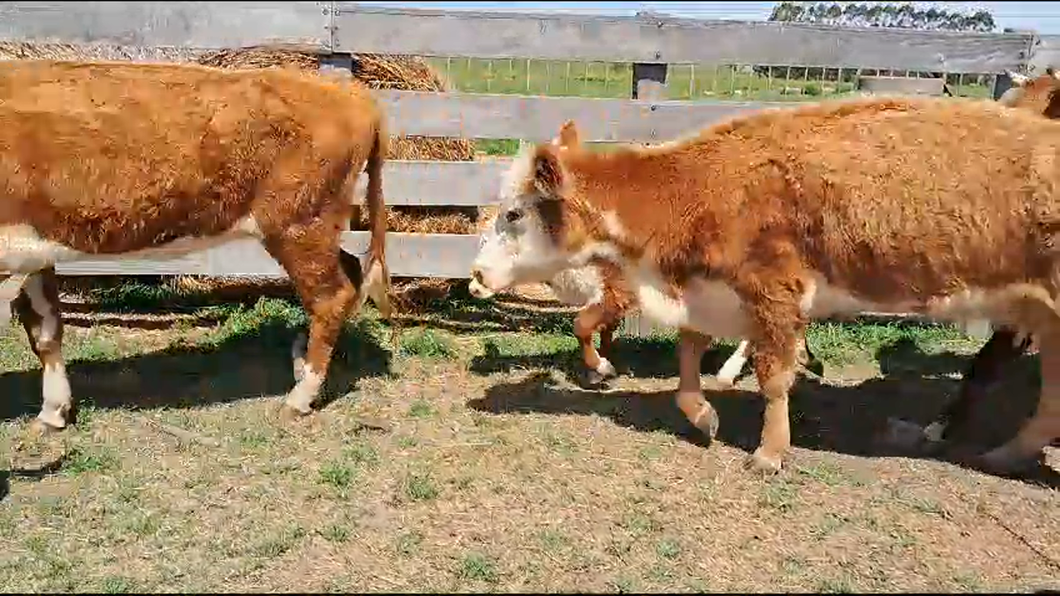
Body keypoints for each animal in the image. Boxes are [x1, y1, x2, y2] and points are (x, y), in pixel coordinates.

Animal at [0, 59, 394, 430]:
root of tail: (345, 91)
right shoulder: (31, 250)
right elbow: (46, 330)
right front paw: (53, 411)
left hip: (300, 223)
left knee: (331, 297)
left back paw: (300, 396)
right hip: (312, 227)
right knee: (349, 272)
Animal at [472, 98, 1060, 477]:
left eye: (514, 213)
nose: (476, 275)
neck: (703, 188)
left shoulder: (774, 294)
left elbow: (773, 378)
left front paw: (770, 453)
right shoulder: (711, 293)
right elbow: (690, 354)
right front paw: (702, 414)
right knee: (1050, 400)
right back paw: (1003, 457)